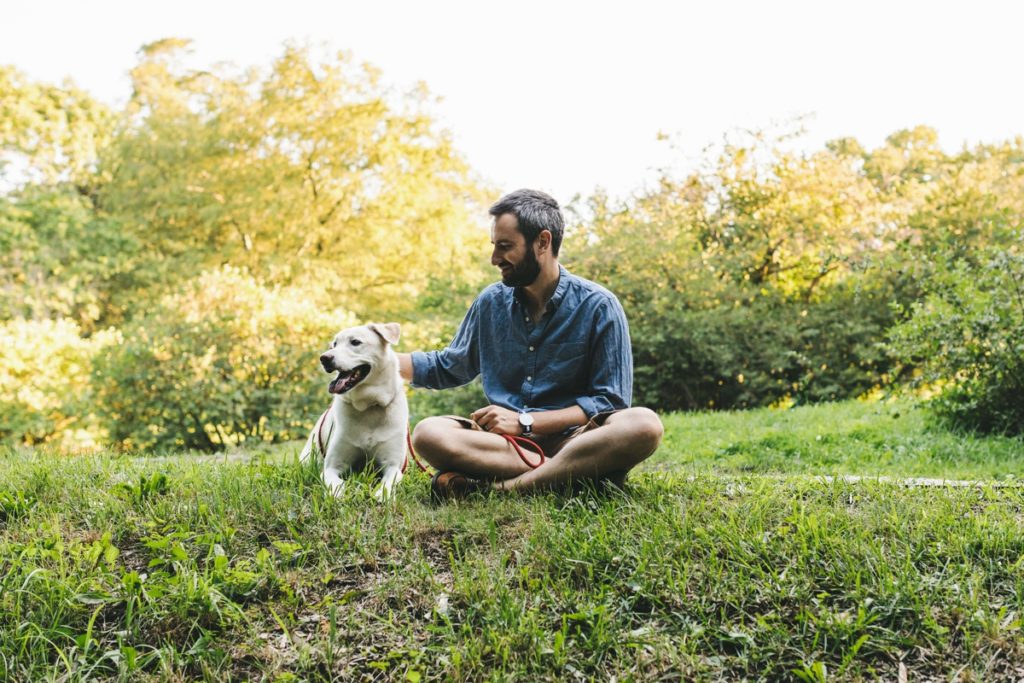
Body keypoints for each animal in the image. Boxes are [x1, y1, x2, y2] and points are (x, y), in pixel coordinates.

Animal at [299, 323, 407, 499]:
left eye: (355, 342)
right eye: (334, 345)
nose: (324, 358)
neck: (369, 406)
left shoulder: (393, 466)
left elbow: (388, 482)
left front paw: (382, 495)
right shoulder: (331, 467)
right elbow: (335, 482)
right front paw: (338, 494)